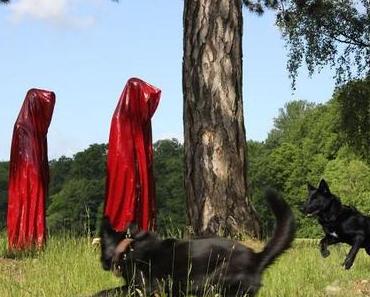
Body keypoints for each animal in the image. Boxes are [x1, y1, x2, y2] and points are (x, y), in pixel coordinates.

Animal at [93, 190, 294, 296]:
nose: (101, 263)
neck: (128, 246)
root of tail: (257, 257)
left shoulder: (143, 288)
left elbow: (107, 292)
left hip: (217, 283)